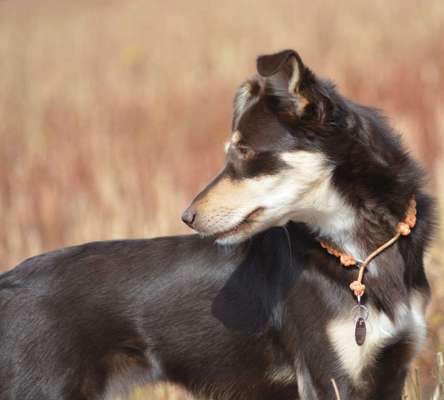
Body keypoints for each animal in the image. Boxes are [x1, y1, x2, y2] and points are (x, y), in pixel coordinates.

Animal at [0, 50, 432, 400]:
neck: (361, 251)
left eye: (244, 151)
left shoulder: (391, 370)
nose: (187, 216)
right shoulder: (329, 377)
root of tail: (8, 281)